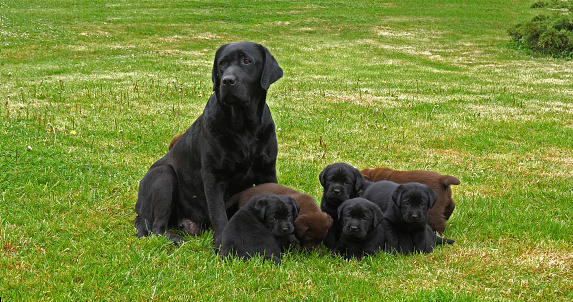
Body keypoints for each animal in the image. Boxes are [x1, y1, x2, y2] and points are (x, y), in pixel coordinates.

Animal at [132, 41, 284, 247]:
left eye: (247, 61)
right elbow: (218, 213)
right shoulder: (213, 176)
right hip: (164, 175)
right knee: (157, 229)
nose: (227, 81)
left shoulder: (267, 170)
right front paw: (221, 243)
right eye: (222, 63)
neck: (244, 128)